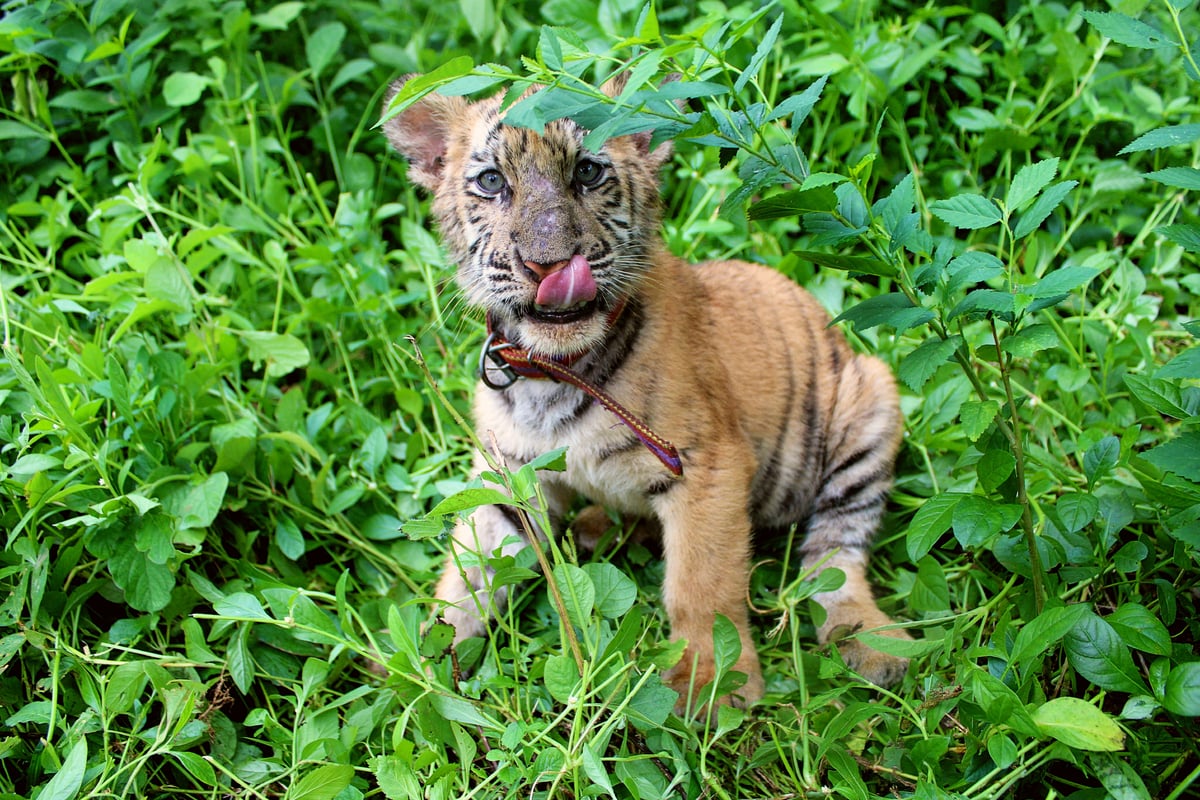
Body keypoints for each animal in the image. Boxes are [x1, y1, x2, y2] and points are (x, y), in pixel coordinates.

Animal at [383, 73, 912, 711]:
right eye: (492, 182)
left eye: (588, 172)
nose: (548, 265)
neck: (553, 374)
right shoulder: (509, 474)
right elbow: (469, 572)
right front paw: (420, 667)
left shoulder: (706, 467)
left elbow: (702, 584)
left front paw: (712, 686)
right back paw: (593, 530)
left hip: (869, 402)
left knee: (835, 554)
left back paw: (871, 642)